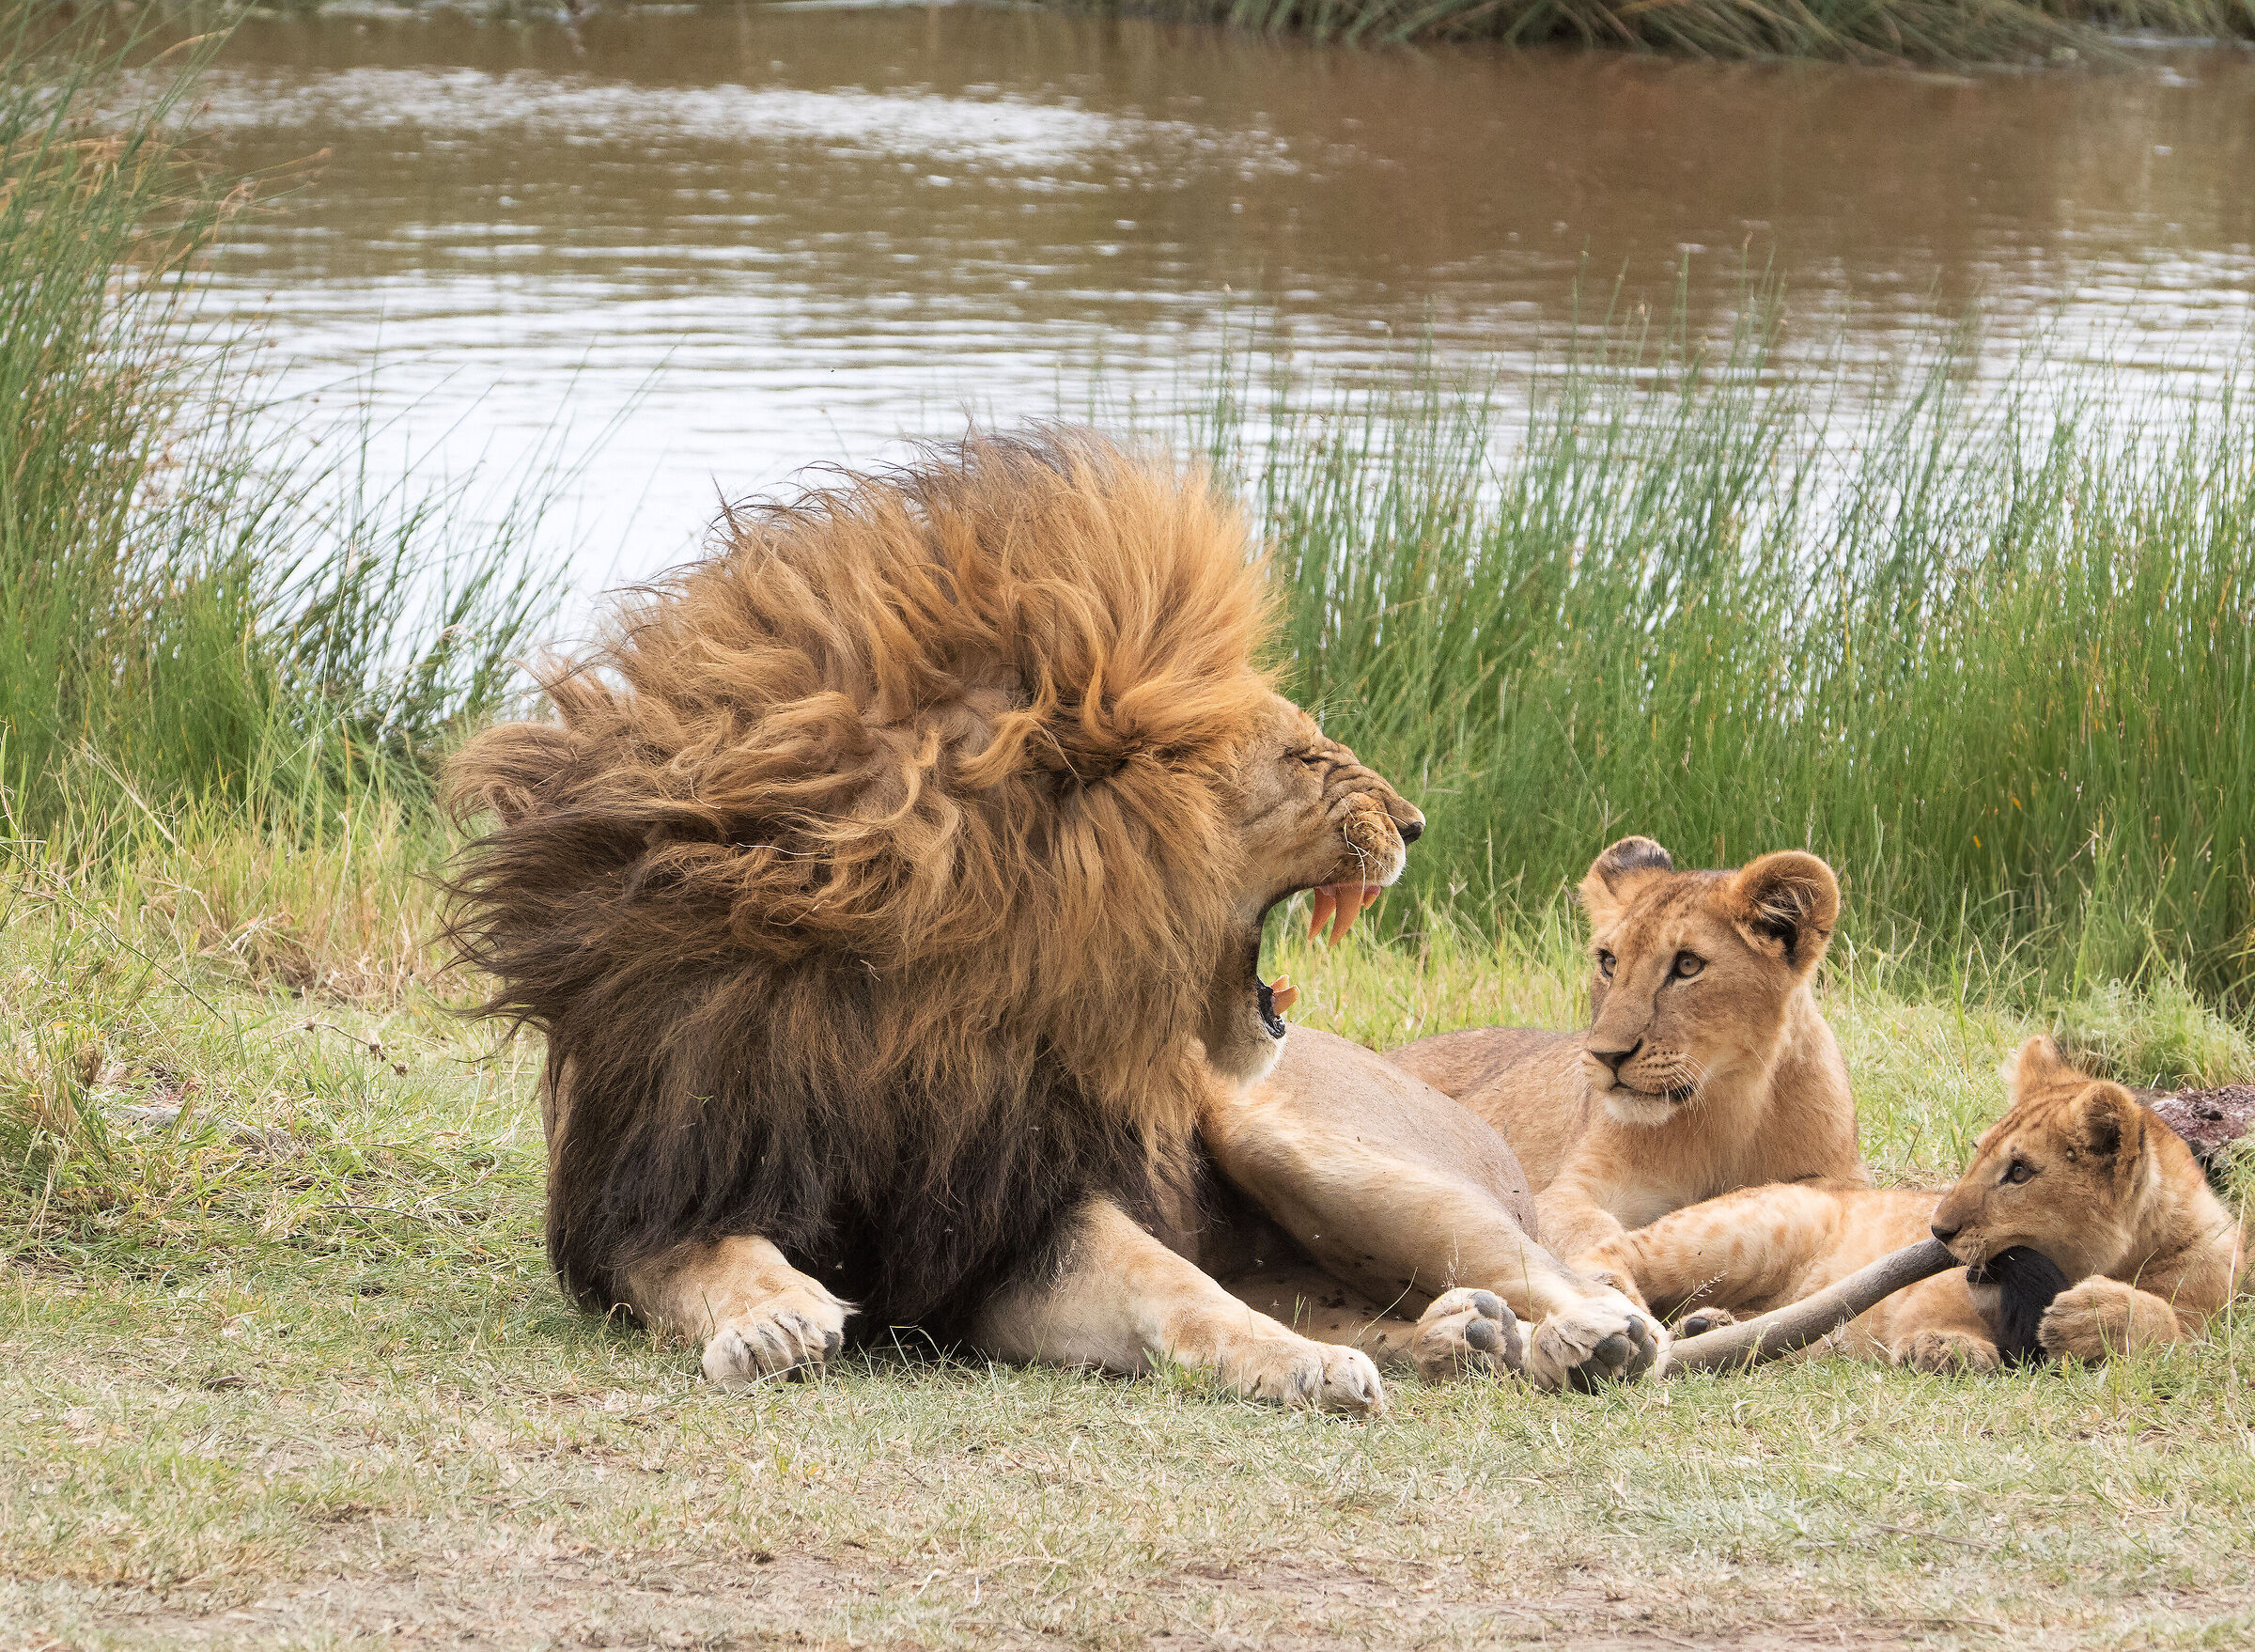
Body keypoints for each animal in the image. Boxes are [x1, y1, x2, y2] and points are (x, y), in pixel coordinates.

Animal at [442, 429, 1523, 1412]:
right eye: (1303, 758)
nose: (1417, 825)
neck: (916, 994)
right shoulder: (644, 1189)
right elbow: (709, 1258)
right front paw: (774, 1320)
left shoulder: (1013, 1218)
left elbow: (1181, 1289)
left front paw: (1306, 1365)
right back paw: (1464, 1338)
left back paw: (1534, 1338)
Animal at [1584, 1037, 2248, 1371]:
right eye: (1979, 1153)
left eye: (2019, 1171)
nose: (1938, 1230)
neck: (2129, 1253)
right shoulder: (1933, 1290)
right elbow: (1930, 1312)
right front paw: (1946, 1347)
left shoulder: (2214, 1311)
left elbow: (2177, 1332)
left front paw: (2097, 1316)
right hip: (1754, 1230)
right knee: (1614, 1247)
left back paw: (1709, 1325)